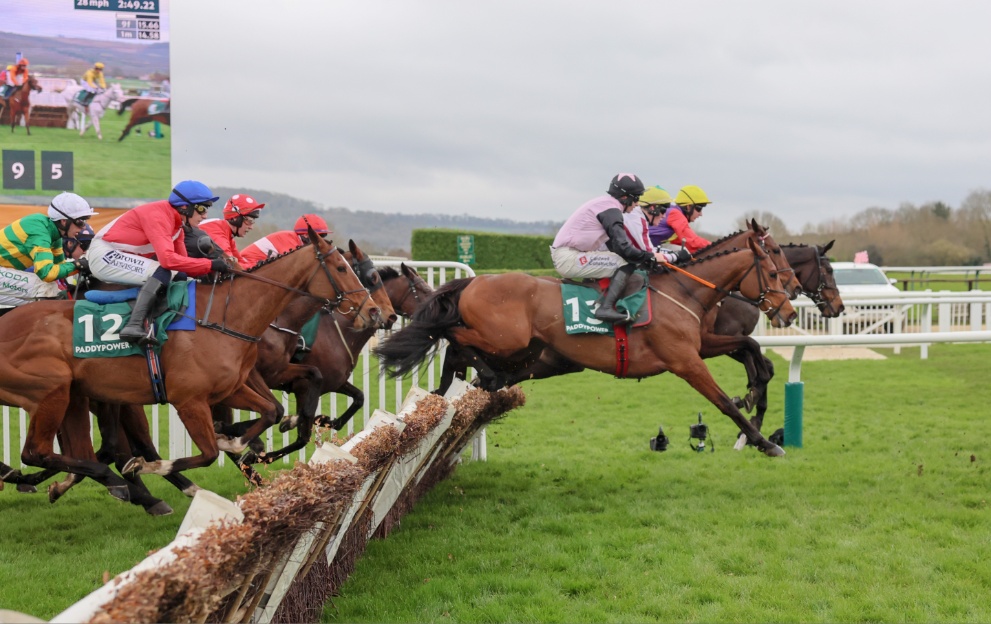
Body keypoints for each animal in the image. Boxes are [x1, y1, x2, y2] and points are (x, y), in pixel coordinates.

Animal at [0, 232, 378, 510]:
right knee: (37, 452)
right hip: (53, 390)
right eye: (342, 268)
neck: (226, 318)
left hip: (77, 396)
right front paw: (158, 465)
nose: (374, 312)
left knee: (78, 449)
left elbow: (271, 411)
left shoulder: (231, 387)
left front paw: (241, 442)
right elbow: (207, 453)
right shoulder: (189, 400)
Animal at [378, 227, 800, 456]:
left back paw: (451, 390)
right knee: (452, 336)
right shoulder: (686, 362)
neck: (684, 290)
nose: (790, 307)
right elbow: (724, 402)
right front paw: (763, 441)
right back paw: (469, 381)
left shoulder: (698, 346)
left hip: (522, 352)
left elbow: (748, 346)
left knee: (458, 351)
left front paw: (754, 391)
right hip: (506, 338)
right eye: (774, 266)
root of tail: (473, 281)